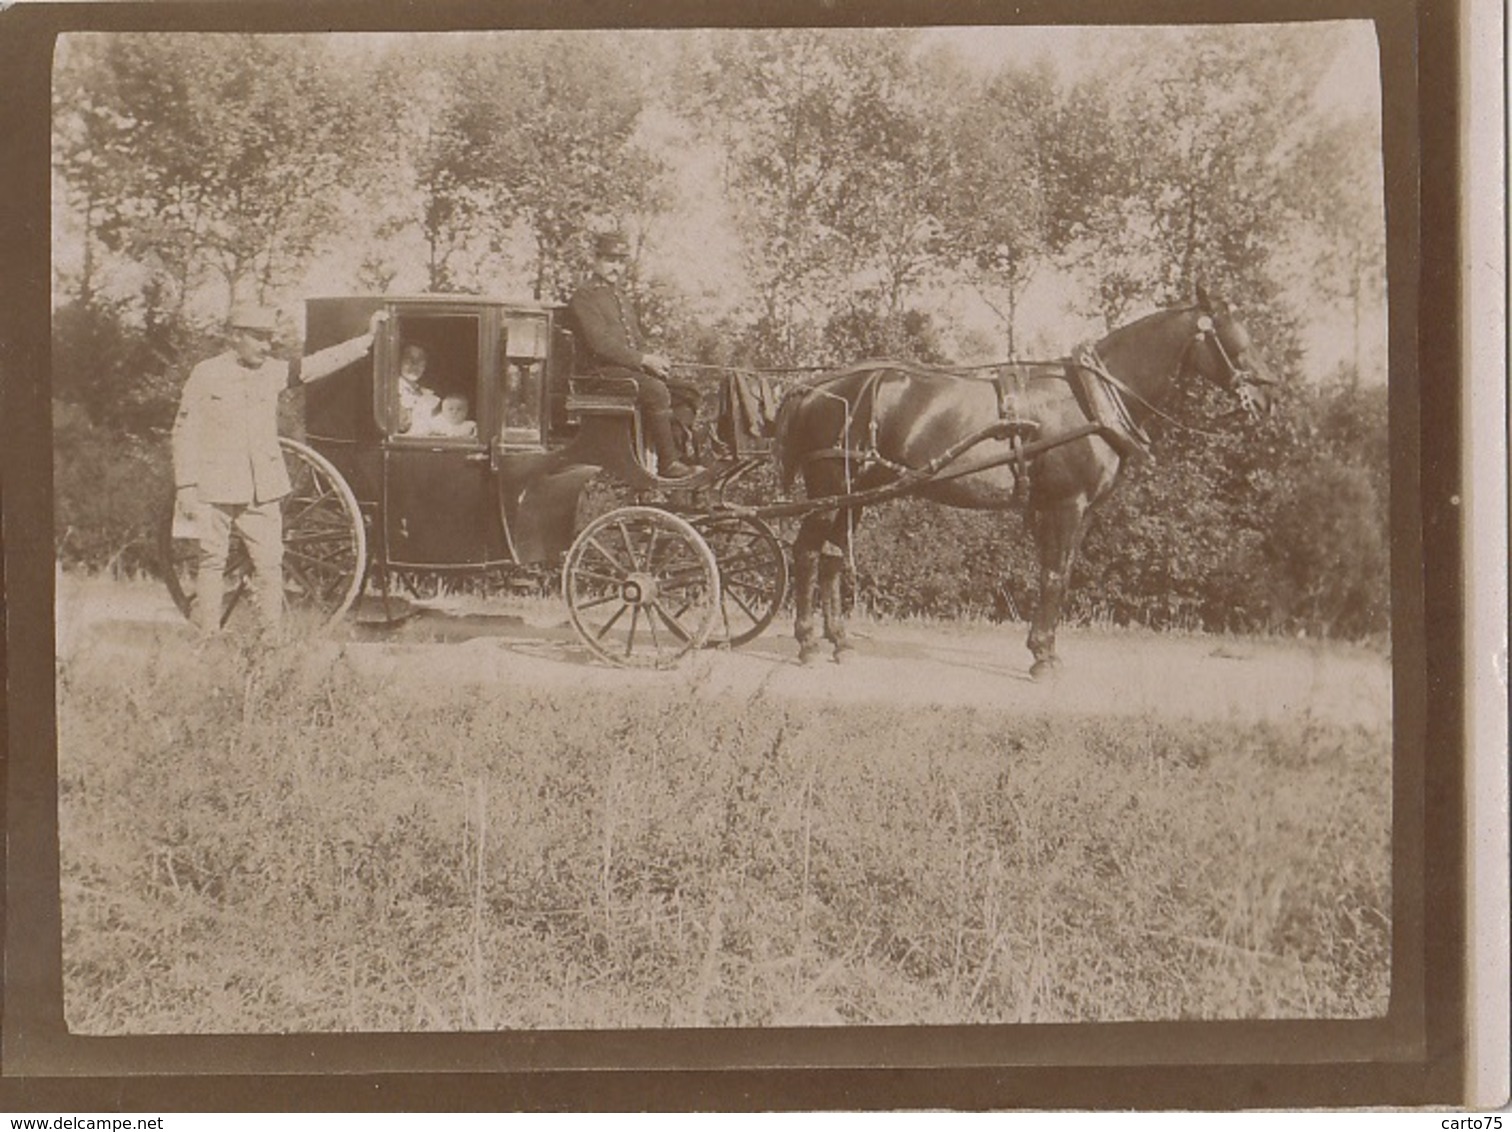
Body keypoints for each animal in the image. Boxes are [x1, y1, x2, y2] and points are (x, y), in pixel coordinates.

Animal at [768, 287, 1276, 671]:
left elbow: (1059, 574)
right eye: (1234, 335)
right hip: (829, 490)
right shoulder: (1067, 504)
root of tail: (813, 387)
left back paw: (840, 642)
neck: (1091, 399)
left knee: (832, 557)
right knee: (807, 553)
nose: (1269, 397)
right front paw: (1044, 659)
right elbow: (1054, 576)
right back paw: (808, 643)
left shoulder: (1070, 509)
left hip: (856, 495)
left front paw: (1042, 648)